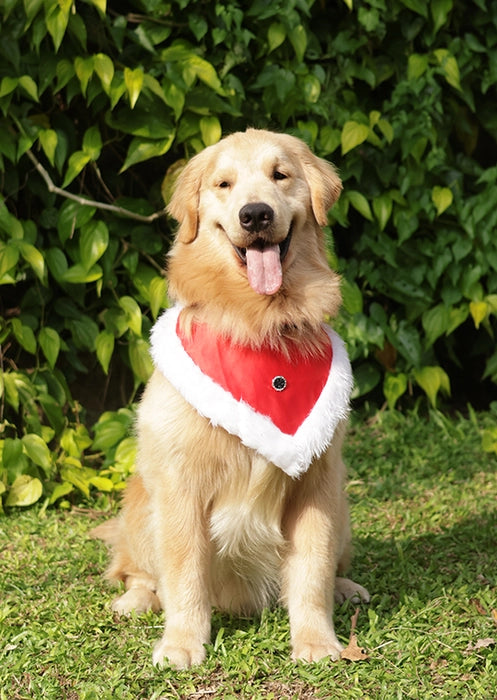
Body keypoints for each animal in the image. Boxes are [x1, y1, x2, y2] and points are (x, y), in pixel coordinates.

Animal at [95, 129, 370, 668]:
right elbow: (184, 575)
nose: (255, 215)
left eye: (280, 175)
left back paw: (346, 588)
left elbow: (312, 570)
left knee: (334, 564)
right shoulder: (180, 483)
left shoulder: (317, 481)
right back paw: (135, 600)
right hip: (140, 508)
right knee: (137, 571)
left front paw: (316, 641)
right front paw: (182, 643)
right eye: (223, 184)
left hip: (343, 507)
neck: (258, 325)